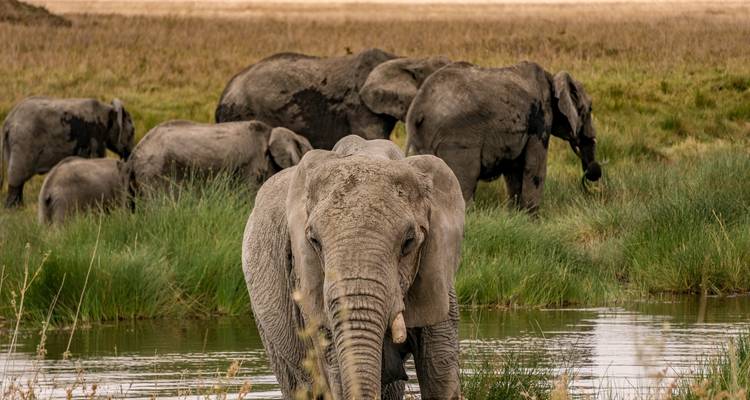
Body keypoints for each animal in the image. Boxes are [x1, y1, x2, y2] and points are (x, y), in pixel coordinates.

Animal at [1, 96, 135, 208]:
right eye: (132, 132)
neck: (108, 110)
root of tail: (7, 122)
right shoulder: (95, 135)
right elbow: (97, 157)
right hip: (22, 142)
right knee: (17, 178)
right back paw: (14, 209)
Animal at [406, 61, 602, 212]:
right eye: (590, 109)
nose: (592, 173)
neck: (551, 76)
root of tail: (418, 109)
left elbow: (514, 171)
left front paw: (516, 215)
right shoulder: (540, 121)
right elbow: (535, 167)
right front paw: (532, 220)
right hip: (457, 142)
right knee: (465, 179)